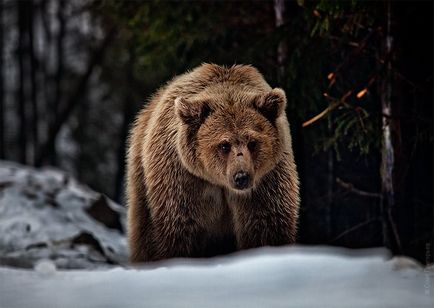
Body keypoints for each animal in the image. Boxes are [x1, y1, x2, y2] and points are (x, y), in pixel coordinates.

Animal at [127, 63, 300, 262]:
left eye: (252, 142)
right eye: (224, 145)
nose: (241, 176)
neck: (219, 183)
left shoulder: (267, 180)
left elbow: (266, 223)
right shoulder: (182, 178)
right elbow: (180, 226)